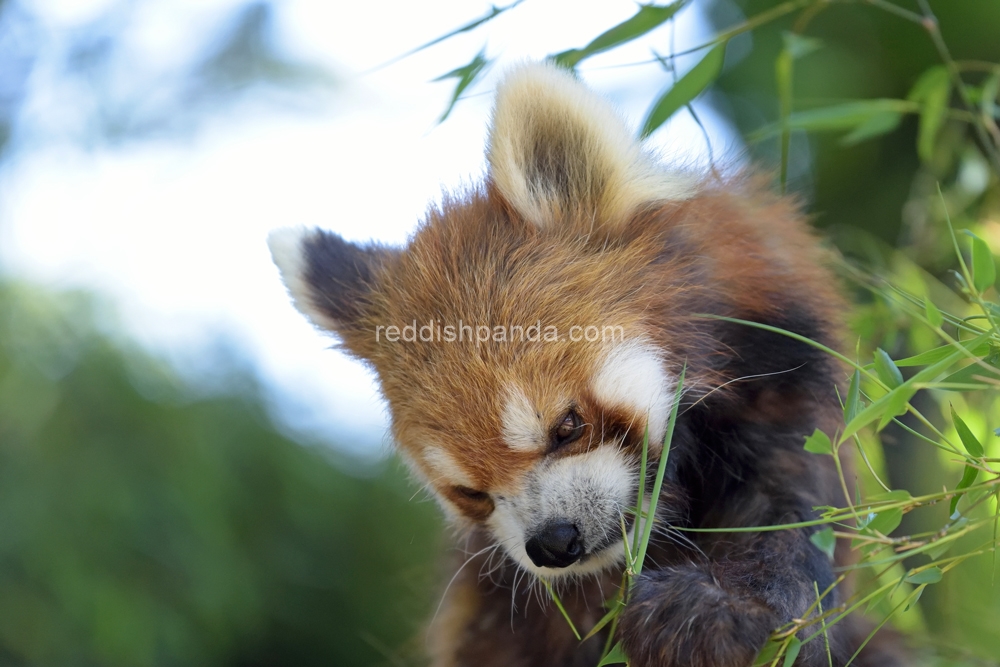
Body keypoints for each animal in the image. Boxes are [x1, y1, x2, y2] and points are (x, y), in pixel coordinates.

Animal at [268, 65, 908, 667]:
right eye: (469, 492)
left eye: (567, 427)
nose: (552, 543)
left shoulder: (786, 403)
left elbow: (790, 528)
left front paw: (716, 611)